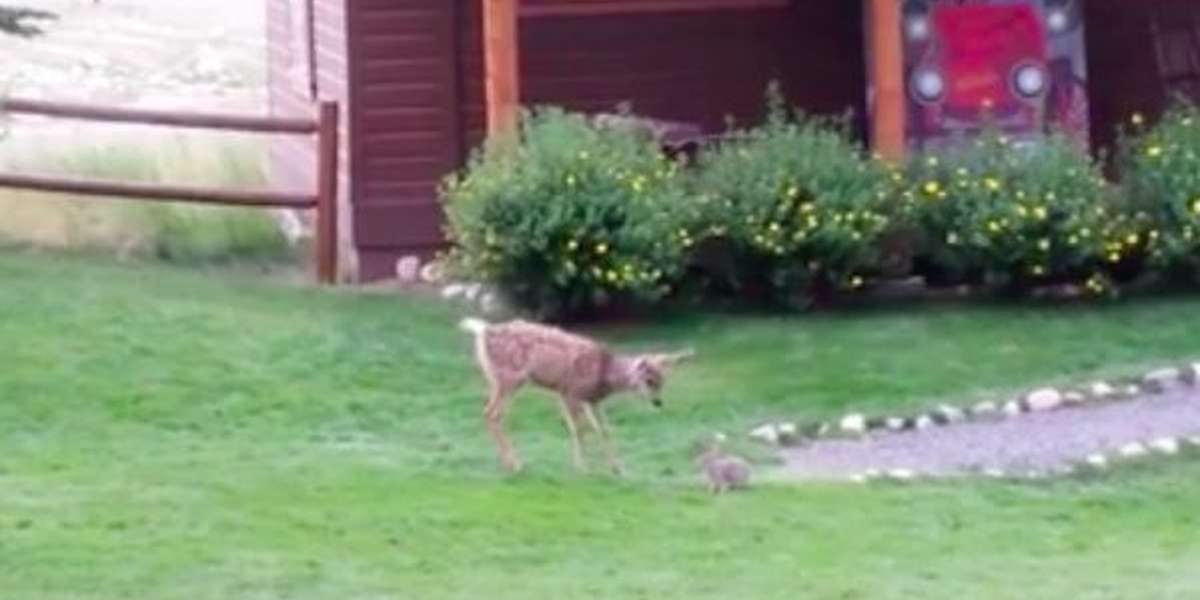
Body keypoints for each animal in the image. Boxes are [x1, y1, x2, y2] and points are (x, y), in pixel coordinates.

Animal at [458, 317, 693, 475]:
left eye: (663, 380)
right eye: (649, 380)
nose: (658, 402)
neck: (604, 374)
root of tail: (483, 331)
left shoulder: (592, 400)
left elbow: (604, 430)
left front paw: (618, 469)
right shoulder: (570, 392)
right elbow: (579, 429)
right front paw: (582, 468)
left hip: (501, 380)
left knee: (489, 413)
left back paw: (508, 463)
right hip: (509, 378)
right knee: (492, 413)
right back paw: (515, 465)